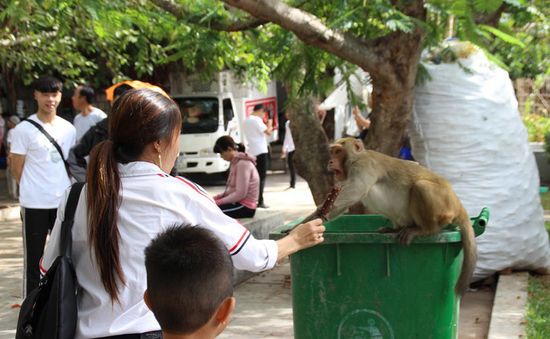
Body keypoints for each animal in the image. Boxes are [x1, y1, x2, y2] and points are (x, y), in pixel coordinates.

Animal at [306, 137, 478, 296]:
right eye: (332, 151)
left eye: (338, 151)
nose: (330, 161)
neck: (357, 157)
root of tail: (457, 203)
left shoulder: (363, 166)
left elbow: (353, 193)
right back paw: (396, 229)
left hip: (444, 207)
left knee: (421, 187)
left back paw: (426, 229)